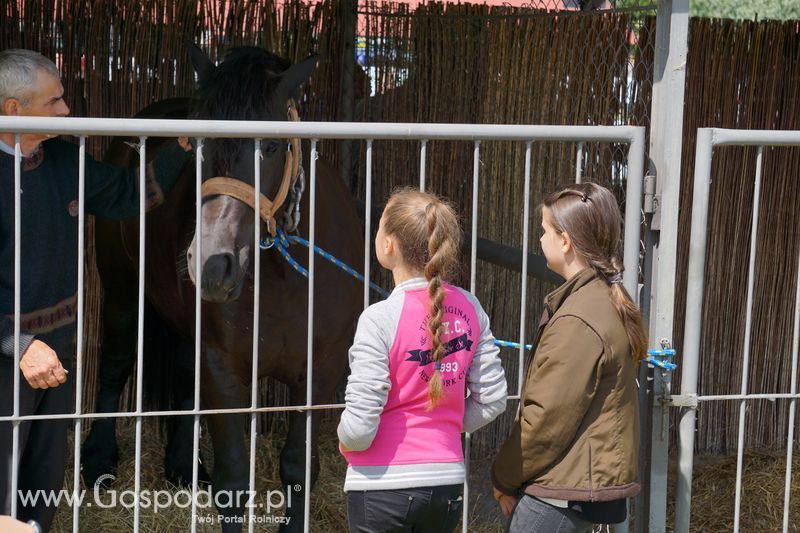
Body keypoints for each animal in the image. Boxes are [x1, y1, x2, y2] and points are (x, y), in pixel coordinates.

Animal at [81, 44, 362, 528]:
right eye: (196, 146)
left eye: (272, 146)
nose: (212, 264)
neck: (285, 277)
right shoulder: (225, 371)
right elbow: (233, 483)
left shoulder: (318, 374)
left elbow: (299, 467)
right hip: (121, 293)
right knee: (115, 365)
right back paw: (98, 461)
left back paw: (183, 467)